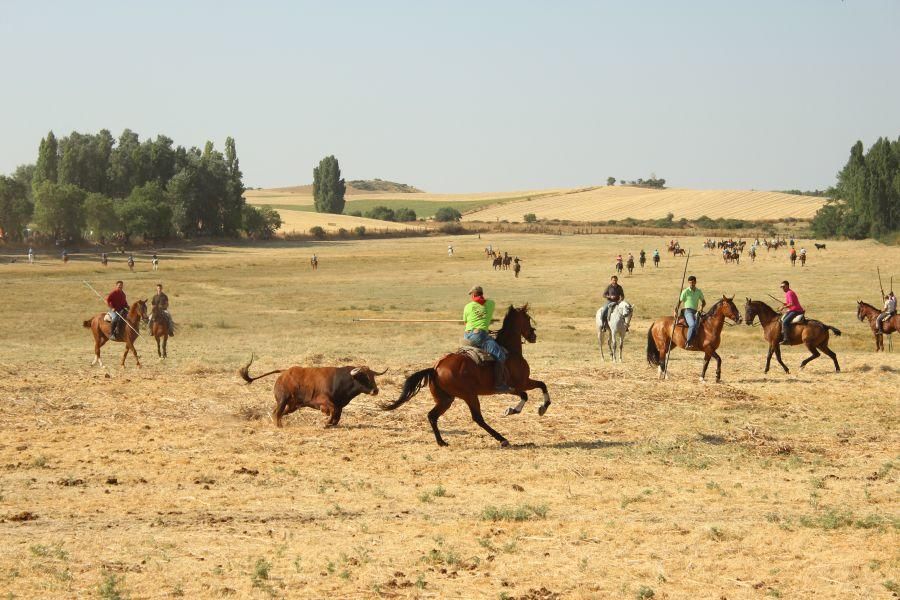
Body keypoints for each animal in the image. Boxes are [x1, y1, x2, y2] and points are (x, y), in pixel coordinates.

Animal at [237, 356, 384, 426]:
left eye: (372, 376)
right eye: (364, 376)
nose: (375, 390)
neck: (342, 380)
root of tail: (285, 372)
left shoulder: (339, 405)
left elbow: (337, 415)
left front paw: (331, 423)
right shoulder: (323, 401)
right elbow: (332, 411)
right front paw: (326, 423)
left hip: (292, 405)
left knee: (279, 413)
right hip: (283, 400)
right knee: (277, 413)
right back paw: (278, 426)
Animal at [382, 304, 548, 446]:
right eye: (528, 318)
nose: (533, 336)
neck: (509, 350)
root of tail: (435, 368)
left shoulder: (519, 385)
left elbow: (538, 387)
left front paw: (532, 408)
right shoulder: (518, 385)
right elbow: (531, 391)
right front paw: (524, 409)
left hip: (446, 399)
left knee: (432, 416)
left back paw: (441, 442)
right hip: (469, 396)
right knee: (478, 418)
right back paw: (502, 439)